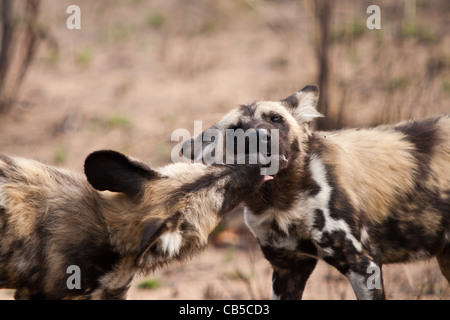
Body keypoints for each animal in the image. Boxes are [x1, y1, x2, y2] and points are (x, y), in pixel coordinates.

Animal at [183, 85, 450, 300]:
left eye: (275, 118)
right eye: (235, 130)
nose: (260, 137)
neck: (280, 201)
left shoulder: (364, 264)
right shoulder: (288, 270)